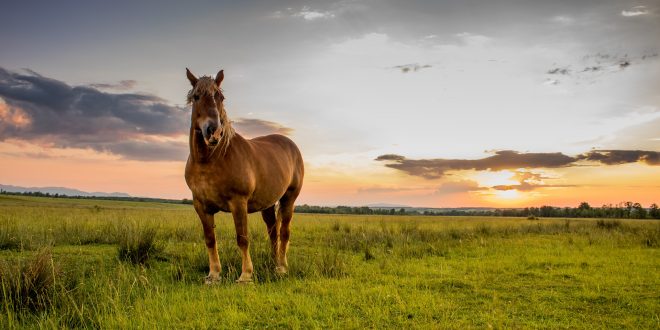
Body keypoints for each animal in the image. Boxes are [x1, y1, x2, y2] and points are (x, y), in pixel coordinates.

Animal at [184, 69, 306, 284]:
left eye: (220, 97)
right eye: (196, 97)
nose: (214, 132)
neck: (211, 160)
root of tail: (290, 144)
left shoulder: (238, 203)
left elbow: (242, 238)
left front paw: (246, 276)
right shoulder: (200, 205)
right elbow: (210, 239)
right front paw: (213, 275)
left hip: (289, 199)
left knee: (284, 232)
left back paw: (281, 267)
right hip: (267, 204)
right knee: (273, 231)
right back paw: (273, 263)